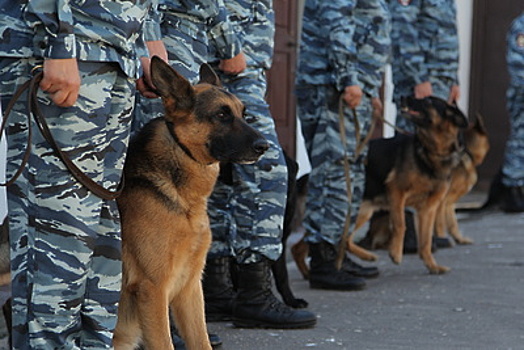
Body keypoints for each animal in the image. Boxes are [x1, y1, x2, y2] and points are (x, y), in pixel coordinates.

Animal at [112, 56, 268, 348]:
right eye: (221, 115)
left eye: (243, 113)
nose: (264, 146)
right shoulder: (153, 290)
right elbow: (166, 343)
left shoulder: (190, 289)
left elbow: (202, 340)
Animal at [346, 95, 468, 274]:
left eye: (428, 101)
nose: (402, 97)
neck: (431, 152)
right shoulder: (397, 192)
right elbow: (400, 224)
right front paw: (396, 253)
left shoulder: (428, 209)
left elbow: (425, 240)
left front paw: (432, 265)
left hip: (363, 211)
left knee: (345, 240)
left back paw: (367, 256)